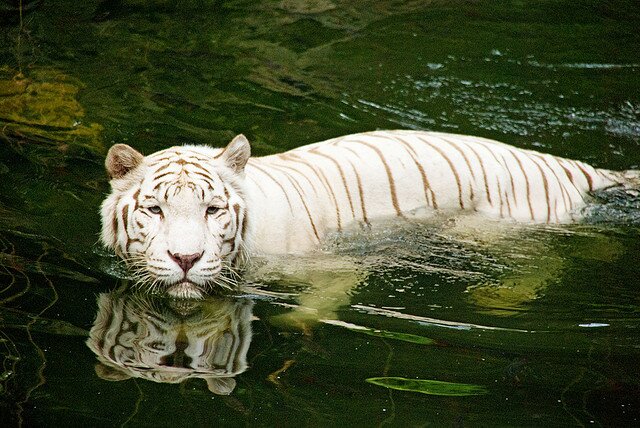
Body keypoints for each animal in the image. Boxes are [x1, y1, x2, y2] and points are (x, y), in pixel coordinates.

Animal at [101, 130, 640, 298]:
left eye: (213, 210)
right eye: (154, 209)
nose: (186, 260)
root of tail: (569, 165)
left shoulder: (334, 267)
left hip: (492, 233)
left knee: (546, 262)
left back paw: (498, 297)